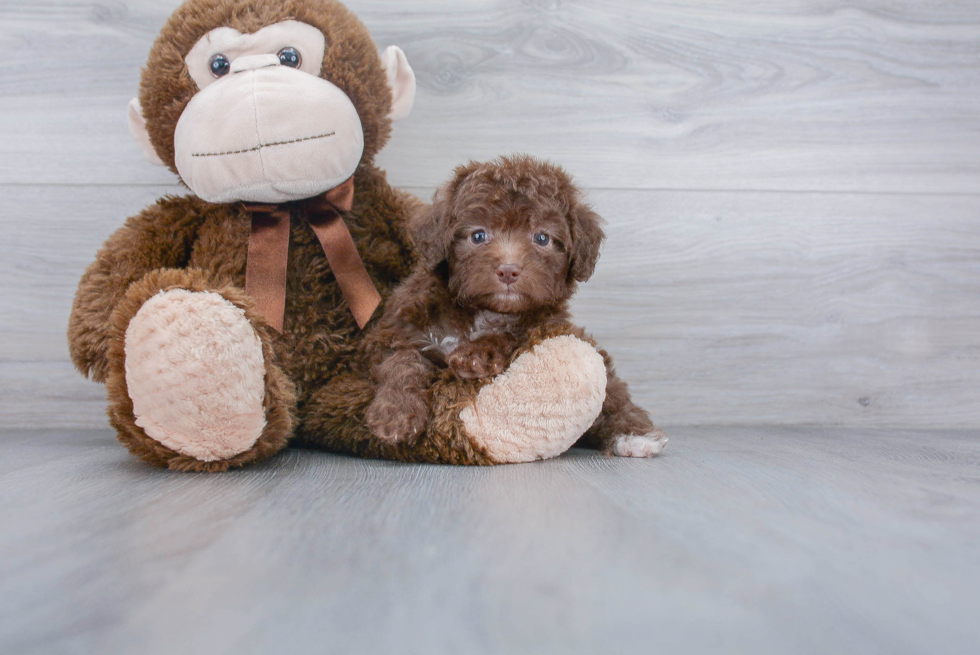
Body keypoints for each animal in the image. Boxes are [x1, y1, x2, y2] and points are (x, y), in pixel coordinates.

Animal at [364, 156, 668, 458]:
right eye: (478, 236)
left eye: (542, 238)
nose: (508, 270)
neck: (487, 311)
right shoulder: (395, 330)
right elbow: (402, 360)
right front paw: (396, 413)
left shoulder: (546, 325)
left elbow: (511, 336)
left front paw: (476, 355)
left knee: (613, 393)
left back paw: (635, 436)